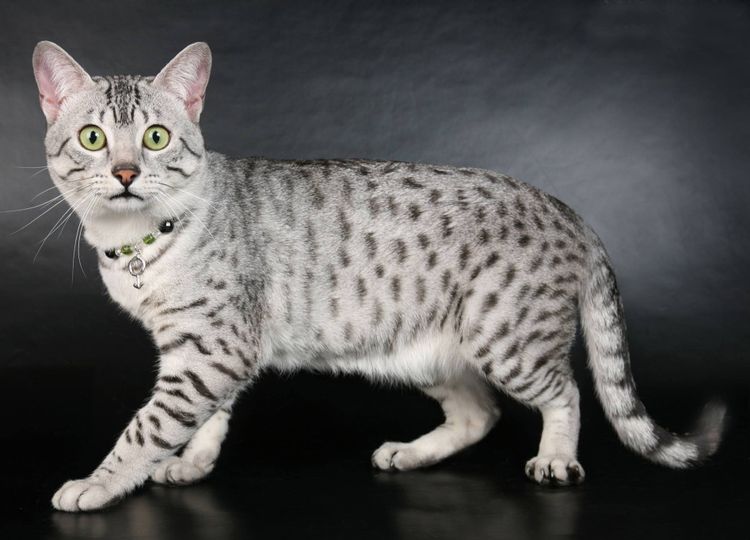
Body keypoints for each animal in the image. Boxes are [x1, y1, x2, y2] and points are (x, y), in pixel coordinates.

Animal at [32, 41, 725, 512]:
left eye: (154, 137)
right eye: (93, 138)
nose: (125, 173)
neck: (132, 245)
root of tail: (568, 207)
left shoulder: (213, 347)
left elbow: (148, 426)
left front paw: (97, 483)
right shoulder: (210, 350)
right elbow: (208, 417)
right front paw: (191, 463)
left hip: (505, 339)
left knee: (567, 392)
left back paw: (555, 458)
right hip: (425, 352)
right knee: (480, 413)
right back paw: (408, 453)